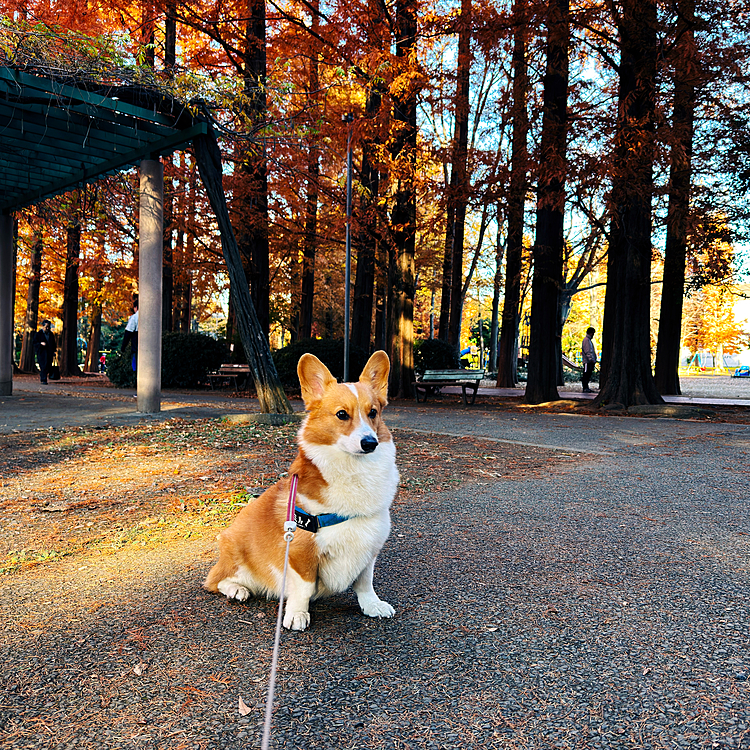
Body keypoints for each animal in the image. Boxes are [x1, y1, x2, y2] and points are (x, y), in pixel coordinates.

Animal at [203, 352, 396, 628]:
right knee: (216, 580)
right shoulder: (299, 551)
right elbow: (304, 587)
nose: (370, 442)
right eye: (341, 414)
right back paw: (237, 590)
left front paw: (372, 605)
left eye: (373, 412)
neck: (353, 471)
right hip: (237, 551)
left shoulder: (369, 547)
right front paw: (296, 614)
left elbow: (365, 582)